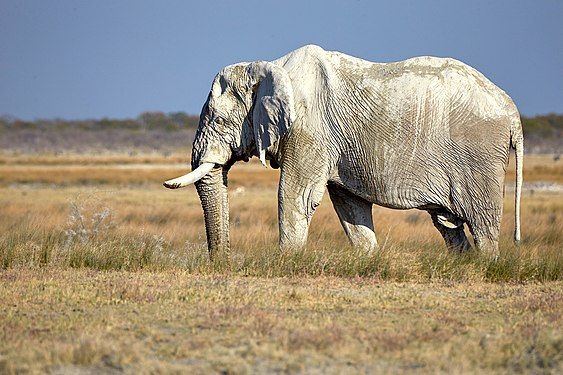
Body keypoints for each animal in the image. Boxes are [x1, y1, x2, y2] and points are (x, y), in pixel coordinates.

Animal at [163, 44, 524, 258]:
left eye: (219, 120)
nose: (223, 262)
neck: (269, 67)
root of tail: (513, 112)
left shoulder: (309, 131)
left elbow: (295, 196)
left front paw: (285, 263)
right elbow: (349, 205)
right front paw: (369, 261)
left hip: (479, 156)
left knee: (482, 222)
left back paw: (485, 266)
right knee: (448, 225)